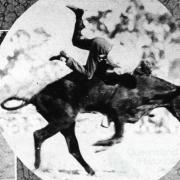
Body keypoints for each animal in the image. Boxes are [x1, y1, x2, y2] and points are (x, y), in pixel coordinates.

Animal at [1, 71, 180, 174]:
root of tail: (35, 96)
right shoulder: (116, 111)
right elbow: (119, 136)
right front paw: (100, 145)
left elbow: (119, 137)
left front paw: (101, 146)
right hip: (63, 120)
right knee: (38, 134)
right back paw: (37, 166)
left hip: (67, 125)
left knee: (73, 148)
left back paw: (91, 171)